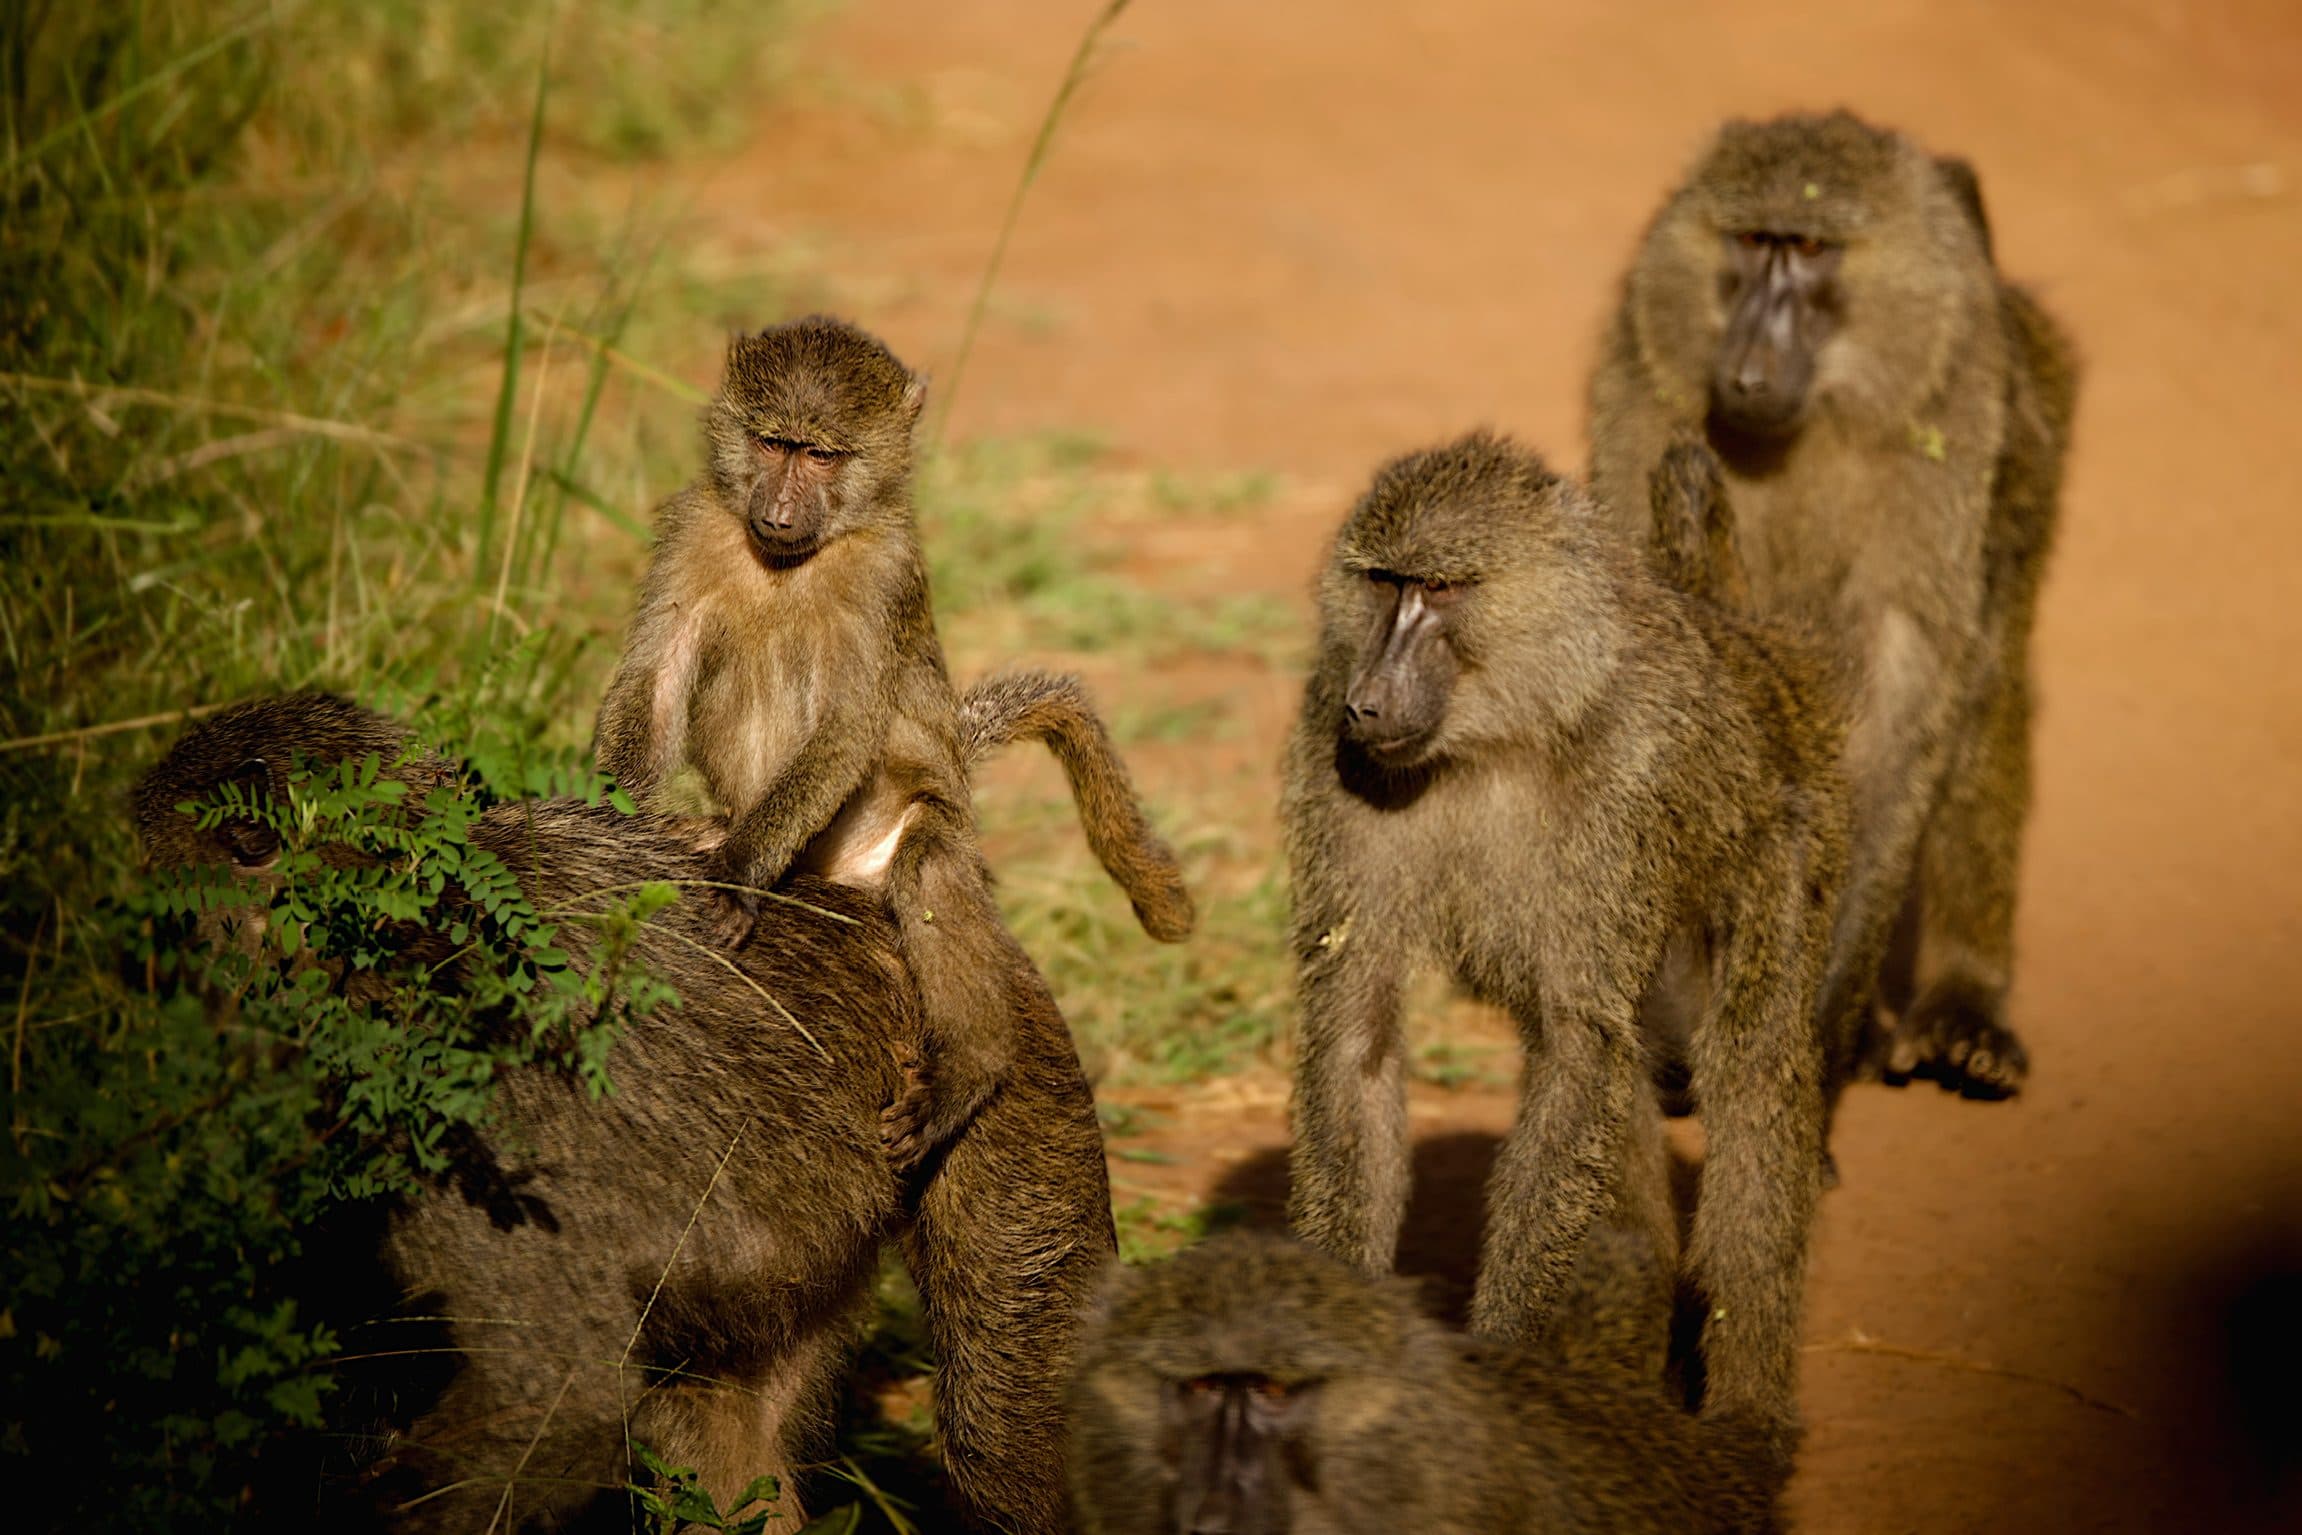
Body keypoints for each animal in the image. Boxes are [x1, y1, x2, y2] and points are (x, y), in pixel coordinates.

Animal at [591, 315, 1189, 1173]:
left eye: (823, 456)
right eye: (772, 442)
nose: (779, 510)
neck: (792, 561)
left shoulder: (884, 573)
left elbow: (847, 726)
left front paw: (737, 877)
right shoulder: (692, 528)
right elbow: (659, 675)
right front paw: (605, 822)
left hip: (922, 827)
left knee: (928, 866)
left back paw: (967, 1072)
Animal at [1281, 432, 1848, 1443]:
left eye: (1444, 588)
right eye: (1385, 582)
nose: (1370, 702)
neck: (1500, 731)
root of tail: (1746, 638)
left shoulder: (1631, 774)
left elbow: (1581, 1046)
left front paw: (1499, 1363)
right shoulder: (1328, 749)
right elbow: (1356, 1034)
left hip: (1788, 837)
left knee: (1749, 1071)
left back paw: (1749, 1421)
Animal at [1588, 110, 2079, 1099]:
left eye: (1812, 249)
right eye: (1751, 242)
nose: (1748, 363)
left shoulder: (1952, 426)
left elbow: (1901, 686)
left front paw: (1815, 1024)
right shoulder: (1641, 391)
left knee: (1983, 682)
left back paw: (1963, 1007)